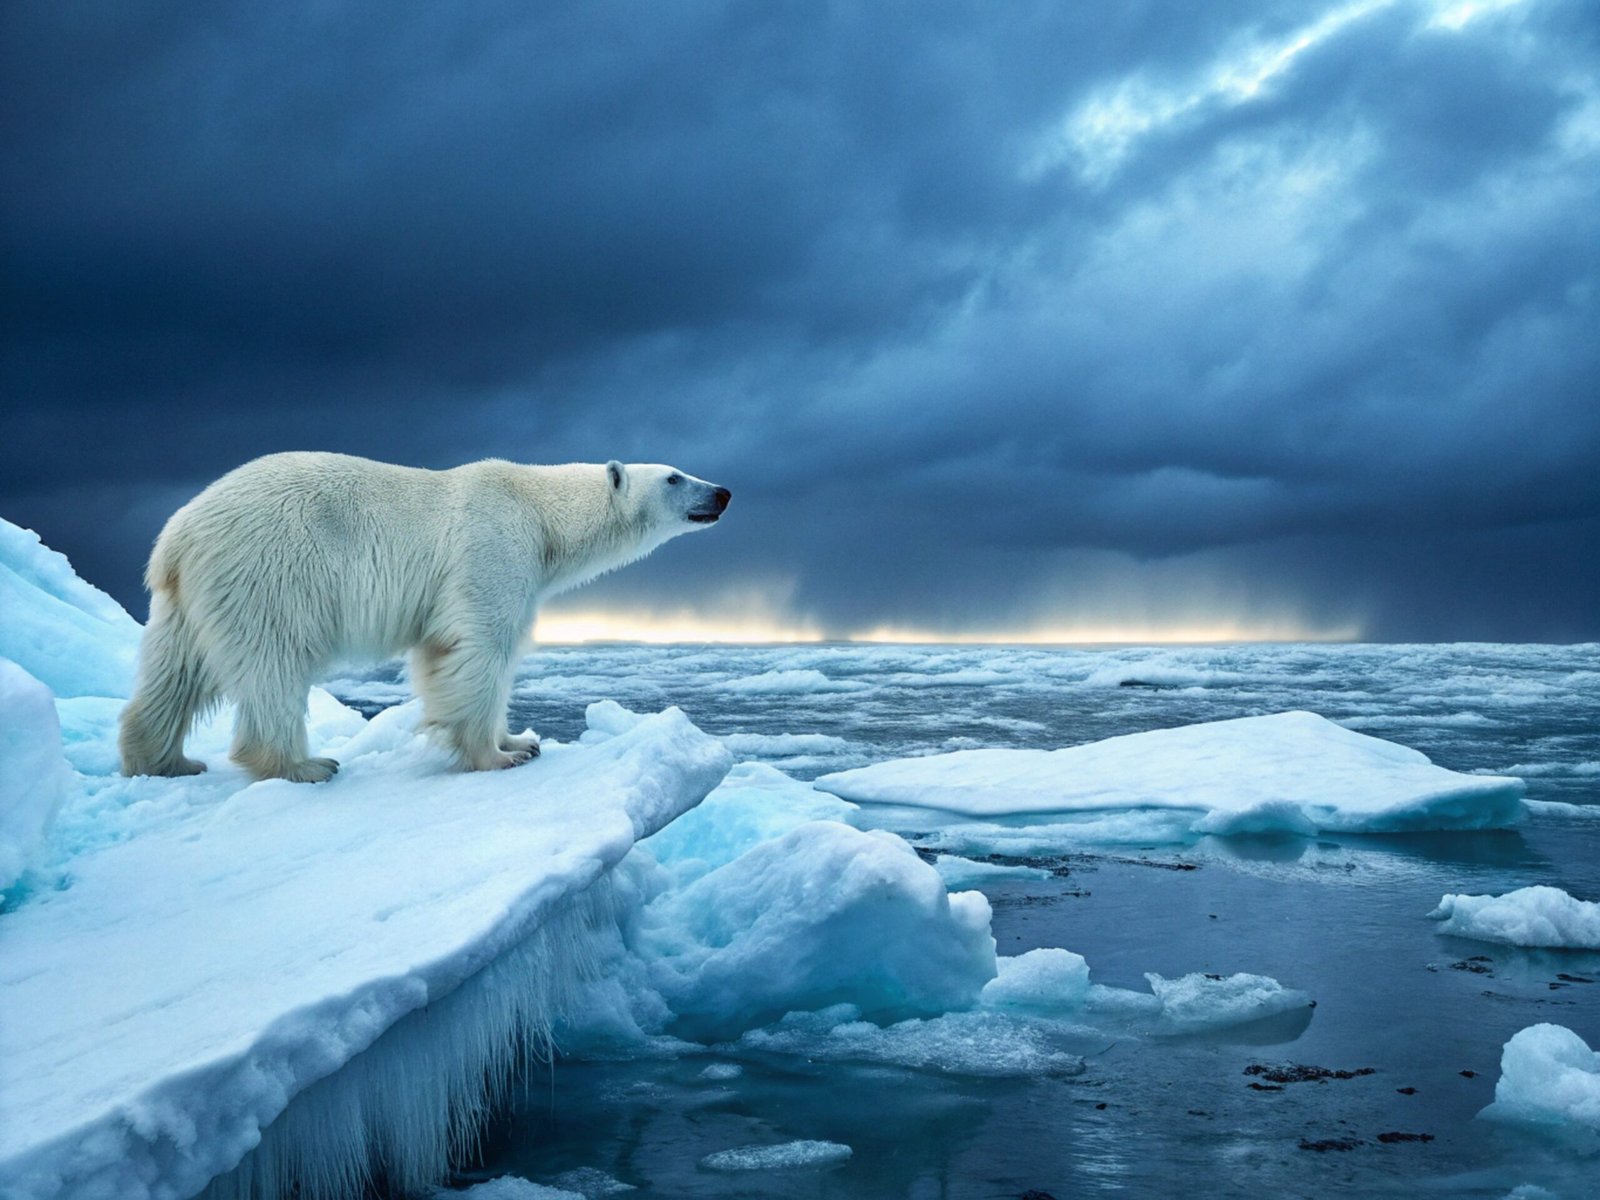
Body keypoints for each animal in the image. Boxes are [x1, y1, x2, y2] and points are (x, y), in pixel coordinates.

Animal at [117, 451, 730, 783]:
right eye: (674, 477)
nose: (723, 492)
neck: (538, 512)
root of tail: (177, 535)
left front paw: (522, 739)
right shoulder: (491, 547)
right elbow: (479, 647)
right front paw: (499, 755)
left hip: (190, 598)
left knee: (175, 671)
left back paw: (165, 759)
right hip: (271, 569)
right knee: (275, 663)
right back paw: (304, 764)